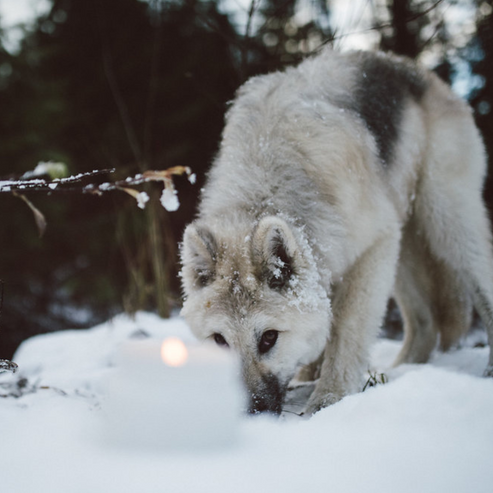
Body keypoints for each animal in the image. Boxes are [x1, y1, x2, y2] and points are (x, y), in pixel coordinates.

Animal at [180, 48, 492, 414]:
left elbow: (345, 328)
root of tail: (414, 68)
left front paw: (329, 398)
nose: (251, 413)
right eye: (219, 341)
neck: (270, 171)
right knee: (424, 322)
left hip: (446, 220)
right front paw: (311, 376)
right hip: (402, 252)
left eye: (269, 338)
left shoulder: (372, 247)